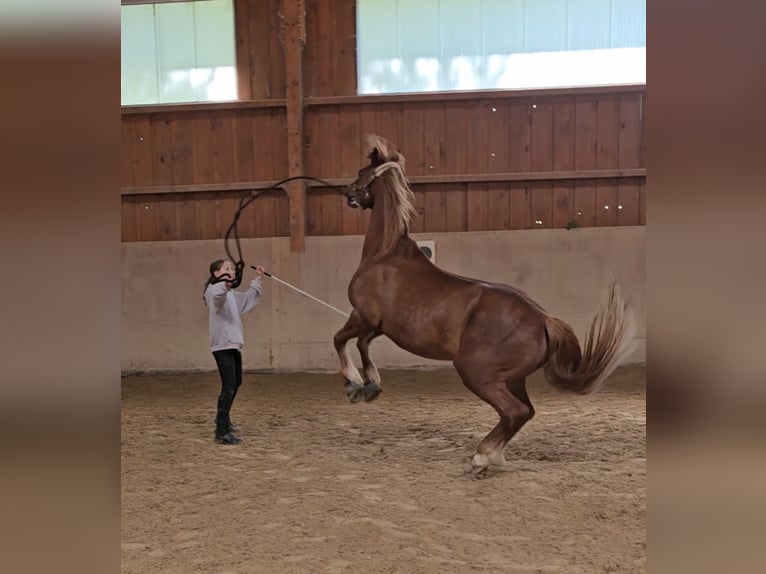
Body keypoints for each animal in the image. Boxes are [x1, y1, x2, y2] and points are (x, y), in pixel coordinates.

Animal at [336, 135, 636, 476]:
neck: (385, 255)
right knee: (524, 411)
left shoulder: (363, 316)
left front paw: (355, 383)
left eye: (361, 173)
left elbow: (341, 340)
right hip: (512, 378)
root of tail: (543, 319)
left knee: (515, 411)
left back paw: (481, 457)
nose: (347, 193)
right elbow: (361, 343)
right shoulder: (378, 326)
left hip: (475, 372)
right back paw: (494, 455)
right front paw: (370, 385)